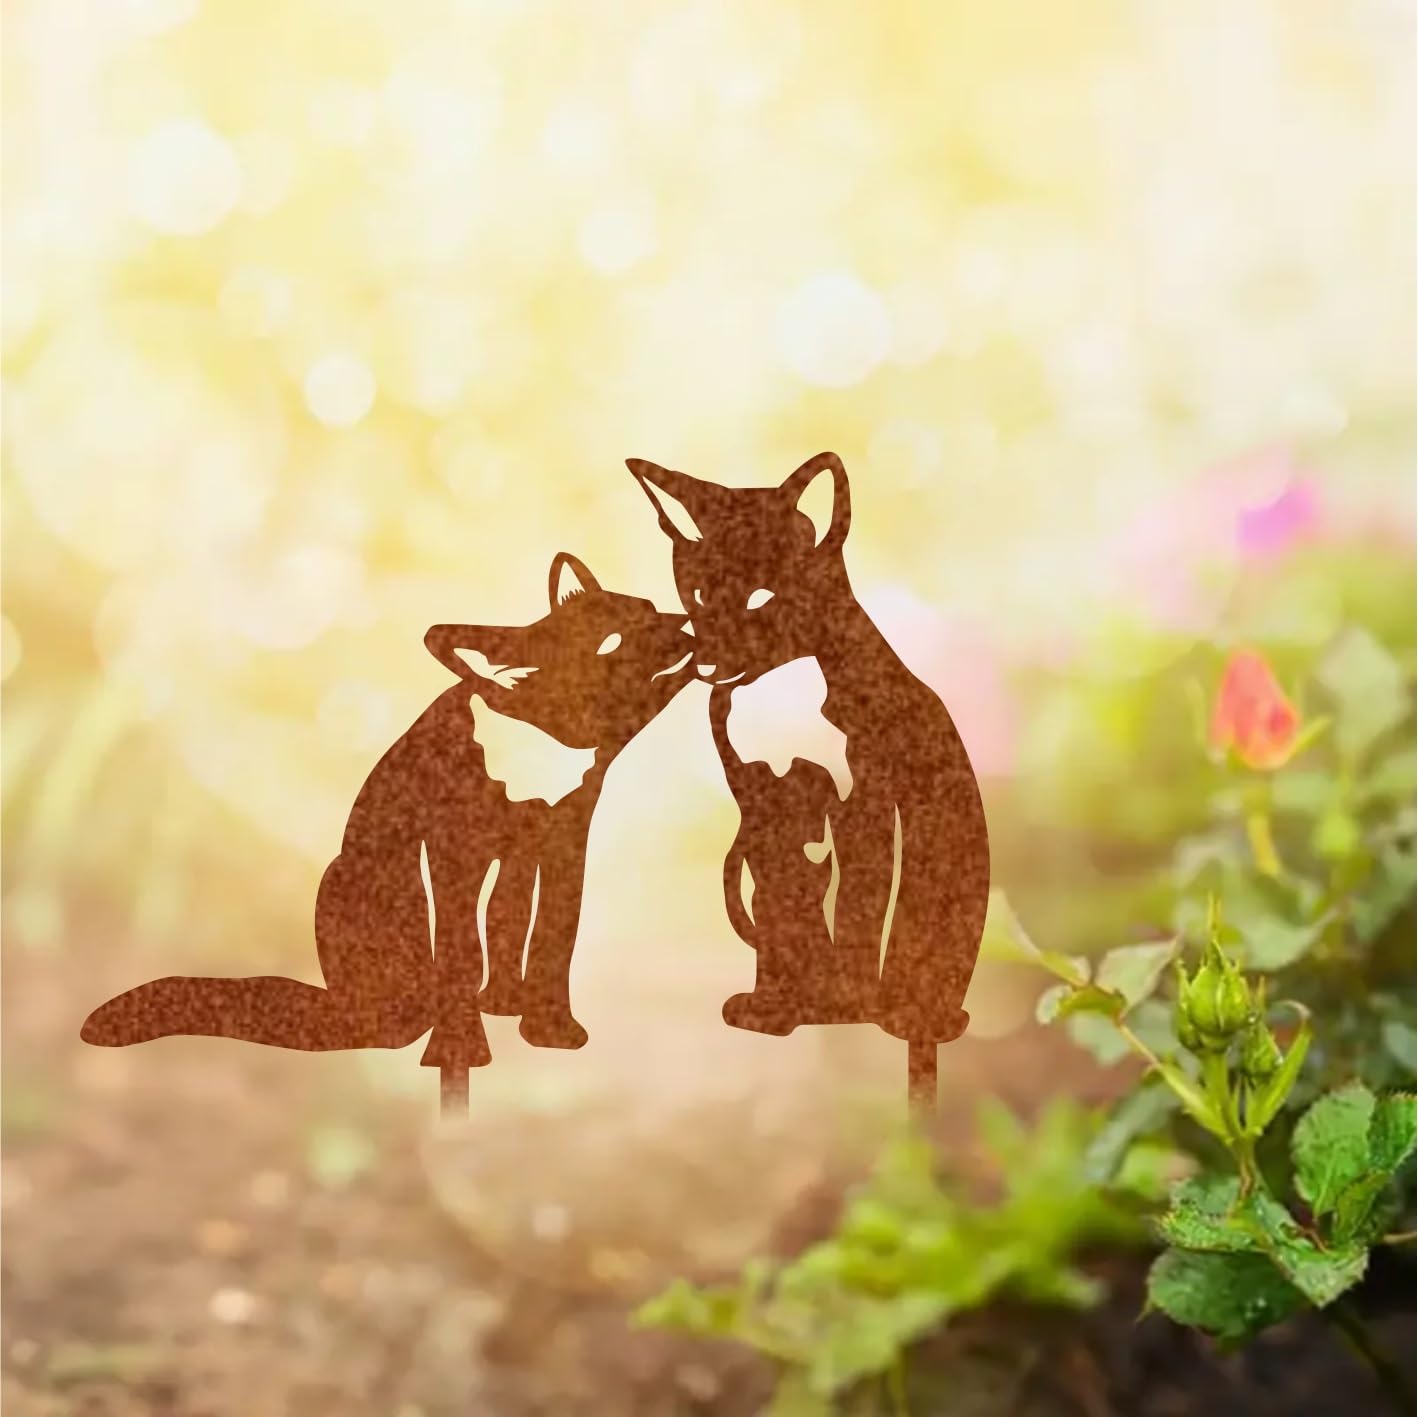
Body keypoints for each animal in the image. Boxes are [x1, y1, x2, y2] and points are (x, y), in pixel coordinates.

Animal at [80, 553, 696, 1070]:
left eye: (650, 610)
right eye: (612, 640)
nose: (689, 624)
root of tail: (341, 1003)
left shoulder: (561, 841)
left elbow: (541, 937)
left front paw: (545, 1028)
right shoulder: (456, 849)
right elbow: (469, 947)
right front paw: (466, 1046)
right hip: (368, 883)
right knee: (398, 1012)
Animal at [627, 452, 990, 1045]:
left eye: (761, 596)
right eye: (699, 593)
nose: (705, 663)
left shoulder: (859, 802)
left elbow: (853, 914)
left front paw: (842, 1004)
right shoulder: (761, 802)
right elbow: (778, 911)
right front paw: (773, 1005)